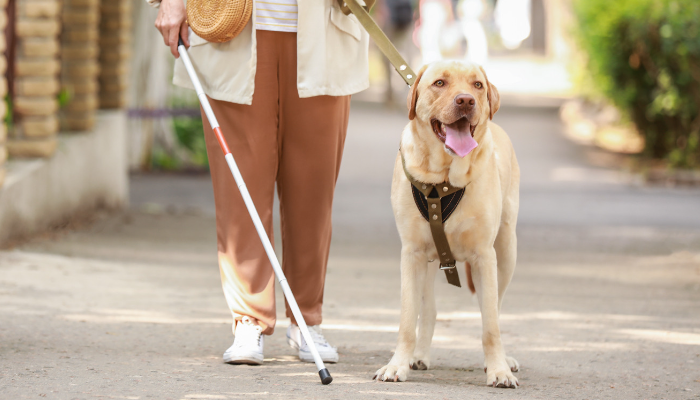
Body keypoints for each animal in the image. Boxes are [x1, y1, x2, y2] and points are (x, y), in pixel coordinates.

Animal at [378, 61, 520, 388]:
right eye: (440, 83)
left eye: (477, 85)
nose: (466, 100)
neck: (442, 179)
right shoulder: (412, 254)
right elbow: (407, 320)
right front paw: (397, 365)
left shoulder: (485, 256)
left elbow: (490, 324)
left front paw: (498, 369)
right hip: (428, 263)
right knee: (428, 309)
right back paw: (419, 355)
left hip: (506, 251)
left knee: (495, 306)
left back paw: (502, 359)